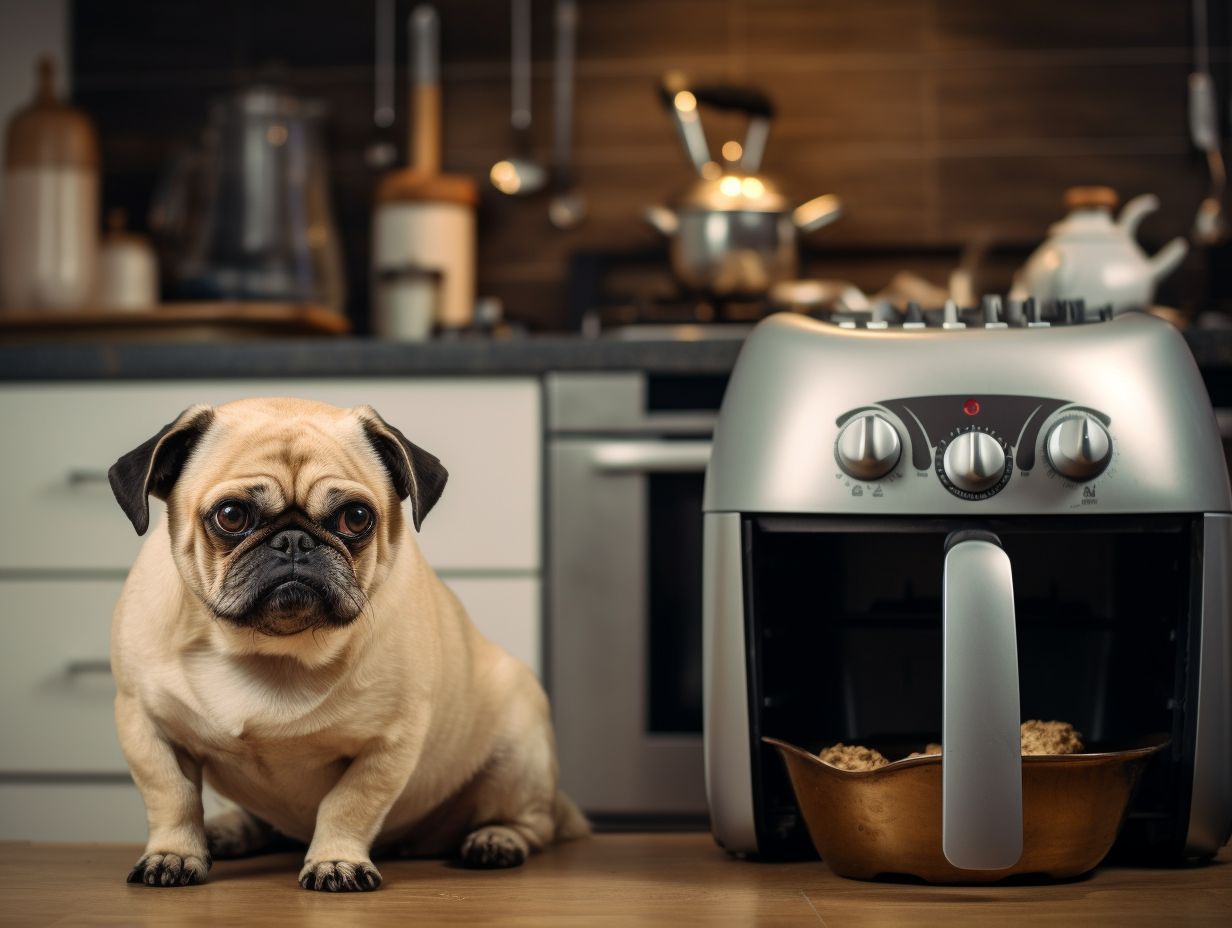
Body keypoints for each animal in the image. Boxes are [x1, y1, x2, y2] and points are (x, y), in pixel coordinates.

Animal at [108, 399, 588, 892]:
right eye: (231, 515)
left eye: (355, 518)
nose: (294, 540)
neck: (271, 650)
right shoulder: (145, 723)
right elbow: (172, 796)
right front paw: (174, 853)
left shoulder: (389, 743)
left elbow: (349, 803)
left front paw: (335, 861)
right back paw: (226, 832)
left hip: (519, 754)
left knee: (534, 822)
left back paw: (496, 839)